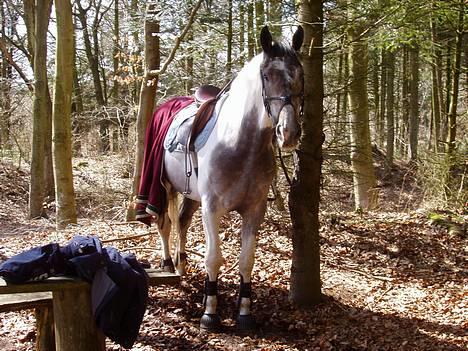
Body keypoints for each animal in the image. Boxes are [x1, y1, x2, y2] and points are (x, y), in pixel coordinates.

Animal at [157, 26, 306, 332]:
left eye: (300, 74)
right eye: (267, 76)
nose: (288, 133)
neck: (239, 145)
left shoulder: (254, 211)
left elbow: (246, 260)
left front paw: (244, 313)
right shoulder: (212, 209)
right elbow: (213, 258)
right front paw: (210, 313)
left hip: (191, 196)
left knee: (181, 222)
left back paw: (181, 264)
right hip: (164, 186)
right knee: (165, 224)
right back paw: (168, 264)